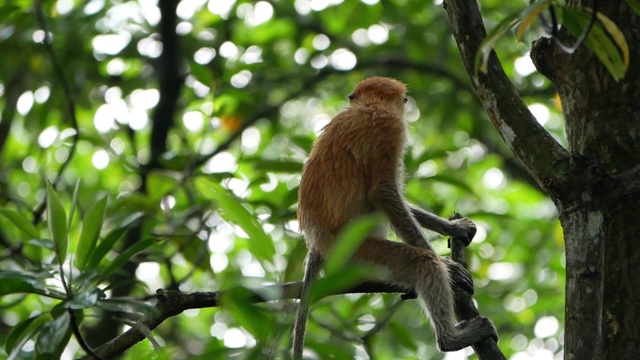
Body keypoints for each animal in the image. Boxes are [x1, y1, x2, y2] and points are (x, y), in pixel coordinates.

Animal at [292, 76, 498, 358]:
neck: (368, 106)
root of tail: (316, 242)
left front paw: (455, 227)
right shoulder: (389, 127)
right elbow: (384, 191)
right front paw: (450, 267)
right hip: (357, 253)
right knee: (422, 263)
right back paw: (450, 339)